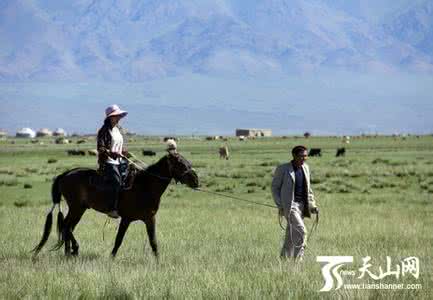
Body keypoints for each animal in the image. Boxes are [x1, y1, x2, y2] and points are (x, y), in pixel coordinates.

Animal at [31, 151, 198, 258]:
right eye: (181, 163)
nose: (196, 180)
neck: (145, 186)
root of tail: (65, 174)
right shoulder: (126, 219)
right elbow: (119, 240)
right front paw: (111, 257)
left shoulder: (150, 219)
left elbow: (153, 241)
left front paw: (158, 260)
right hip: (76, 208)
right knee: (66, 226)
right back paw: (74, 250)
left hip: (80, 209)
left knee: (68, 227)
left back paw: (68, 253)